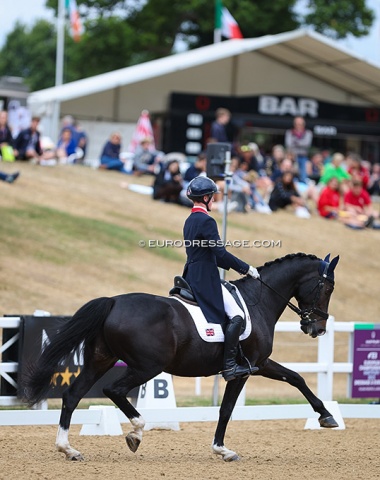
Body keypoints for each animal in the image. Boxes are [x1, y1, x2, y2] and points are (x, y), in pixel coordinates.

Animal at [23, 253, 338, 464]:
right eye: (326, 288)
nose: (317, 328)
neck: (257, 300)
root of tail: (113, 302)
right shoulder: (246, 370)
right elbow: (226, 409)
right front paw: (223, 450)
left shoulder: (260, 364)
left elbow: (295, 378)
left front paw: (327, 416)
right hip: (147, 366)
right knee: (113, 390)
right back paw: (136, 432)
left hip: (100, 361)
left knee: (72, 395)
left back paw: (69, 449)